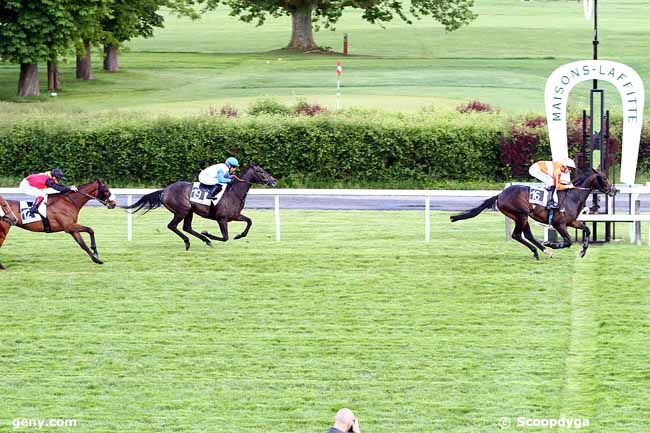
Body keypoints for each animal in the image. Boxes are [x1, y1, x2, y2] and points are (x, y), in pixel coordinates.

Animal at [124, 163, 276, 250]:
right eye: (261, 171)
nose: (274, 180)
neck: (233, 192)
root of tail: (164, 191)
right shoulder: (222, 219)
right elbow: (225, 237)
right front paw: (208, 233)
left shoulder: (235, 216)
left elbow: (249, 221)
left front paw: (239, 235)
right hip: (182, 210)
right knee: (172, 226)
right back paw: (190, 241)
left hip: (189, 211)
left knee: (187, 227)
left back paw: (204, 240)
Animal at [448, 170, 616, 258]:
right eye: (604, 178)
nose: (614, 190)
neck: (573, 196)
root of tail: (500, 195)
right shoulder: (559, 224)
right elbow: (568, 241)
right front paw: (552, 244)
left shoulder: (572, 222)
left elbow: (587, 230)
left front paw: (583, 251)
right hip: (521, 214)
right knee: (517, 235)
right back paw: (542, 249)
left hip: (522, 216)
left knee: (527, 235)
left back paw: (543, 251)